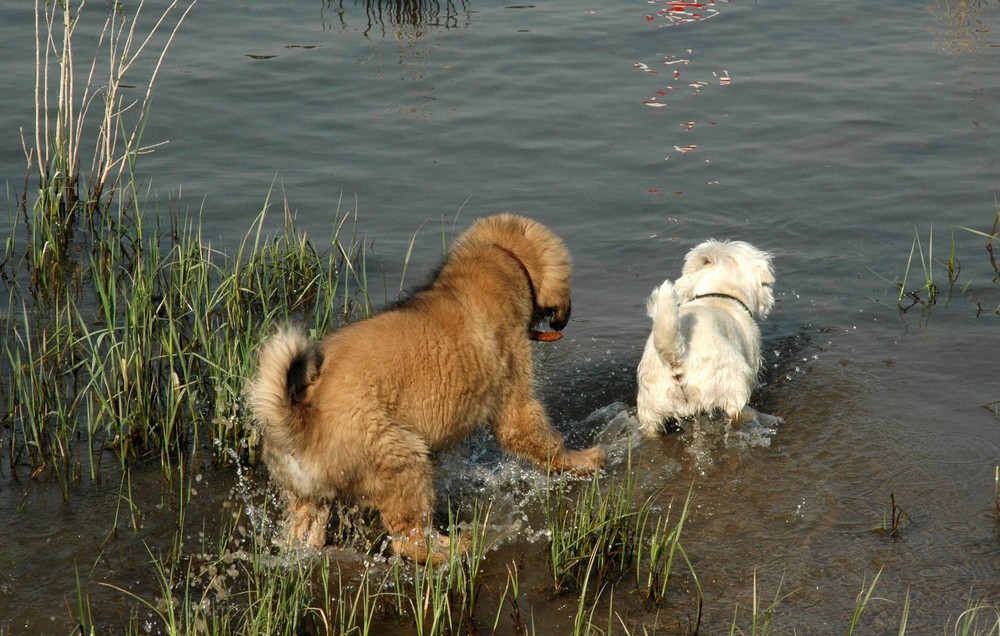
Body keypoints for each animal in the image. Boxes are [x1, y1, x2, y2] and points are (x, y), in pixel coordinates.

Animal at [250, 214, 608, 560]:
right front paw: (583, 460)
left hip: (308, 498)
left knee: (303, 536)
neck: (498, 262)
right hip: (403, 460)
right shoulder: (514, 399)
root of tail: (303, 418)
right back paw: (460, 545)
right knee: (409, 540)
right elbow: (540, 440)